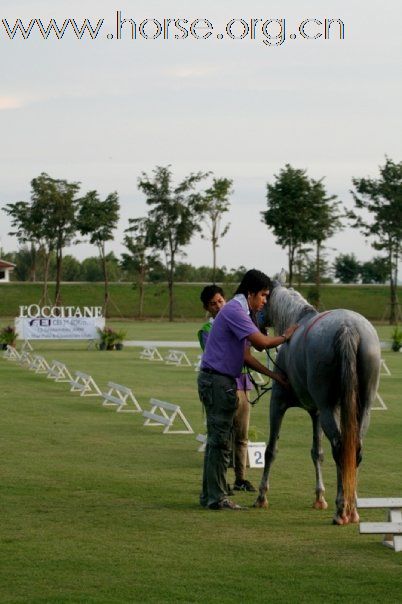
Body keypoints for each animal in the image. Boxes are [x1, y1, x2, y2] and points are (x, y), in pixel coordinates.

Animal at [254, 278, 380, 524]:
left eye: (264, 299)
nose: (254, 319)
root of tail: (348, 327)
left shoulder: (278, 404)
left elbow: (271, 450)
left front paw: (262, 497)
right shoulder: (317, 413)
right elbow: (317, 453)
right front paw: (320, 497)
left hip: (328, 408)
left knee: (340, 448)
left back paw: (342, 511)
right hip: (361, 409)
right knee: (354, 448)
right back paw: (352, 507)